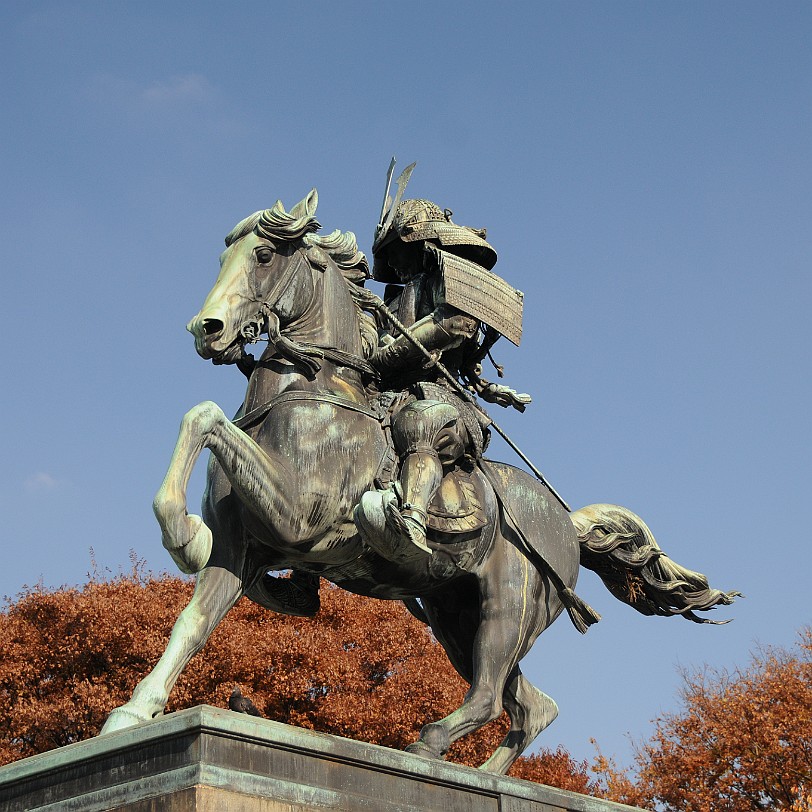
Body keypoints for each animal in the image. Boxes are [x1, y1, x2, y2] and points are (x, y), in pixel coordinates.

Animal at [100, 192, 736, 772]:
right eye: (222, 258)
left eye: (262, 255)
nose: (206, 328)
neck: (309, 394)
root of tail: (567, 523)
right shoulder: (242, 551)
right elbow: (192, 621)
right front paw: (133, 711)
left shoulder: (298, 518)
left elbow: (206, 416)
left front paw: (184, 537)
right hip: (454, 616)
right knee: (531, 706)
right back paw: (479, 773)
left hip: (506, 608)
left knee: (490, 696)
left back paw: (429, 745)